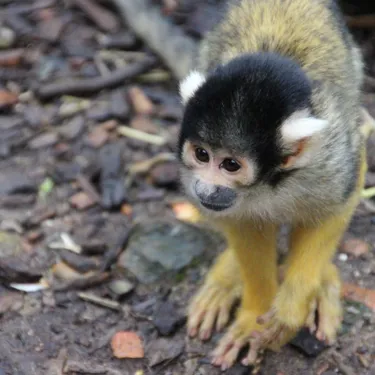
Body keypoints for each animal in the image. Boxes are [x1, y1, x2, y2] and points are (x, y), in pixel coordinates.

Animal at [178, 0, 368, 372]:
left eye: (231, 165)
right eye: (202, 154)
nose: (206, 189)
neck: (270, 182)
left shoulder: (329, 155)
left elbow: (341, 201)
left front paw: (291, 308)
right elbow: (245, 226)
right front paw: (254, 315)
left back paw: (322, 282)